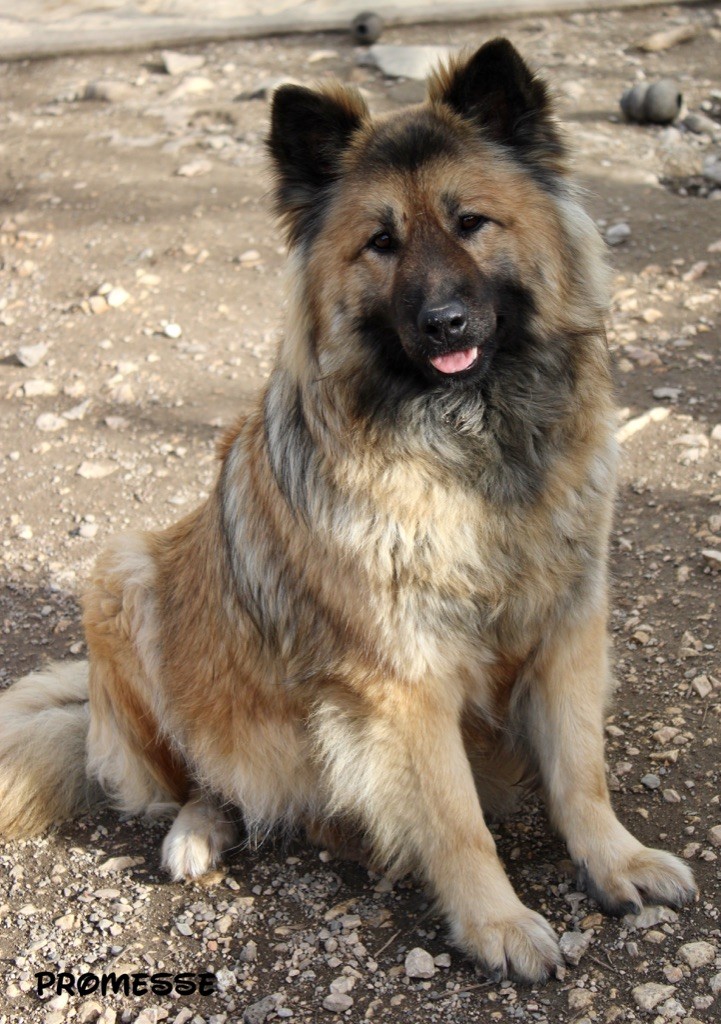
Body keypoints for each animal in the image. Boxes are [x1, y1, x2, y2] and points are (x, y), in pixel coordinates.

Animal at [1, 41, 696, 983]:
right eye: (381, 243)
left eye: (472, 223)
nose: (445, 323)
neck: (469, 446)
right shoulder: (402, 680)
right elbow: (456, 820)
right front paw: (496, 923)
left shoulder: (566, 628)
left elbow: (580, 773)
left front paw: (616, 861)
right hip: (126, 579)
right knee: (199, 782)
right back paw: (198, 834)